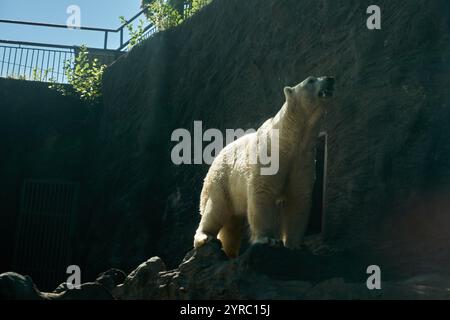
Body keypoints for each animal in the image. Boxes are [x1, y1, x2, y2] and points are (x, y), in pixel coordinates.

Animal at [192, 76, 334, 258]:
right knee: (216, 207)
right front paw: (268, 240)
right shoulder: (269, 157)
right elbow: (262, 193)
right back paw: (205, 237)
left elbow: (298, 198)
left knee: (231, 225)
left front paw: (296, 245)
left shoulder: (302, 159)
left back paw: (231, 252)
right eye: (311, 80)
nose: (330, 79)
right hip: (222, 178)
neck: (288, 140)